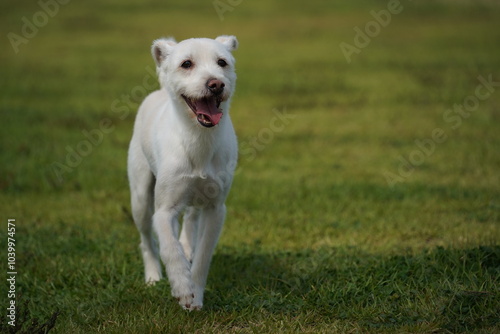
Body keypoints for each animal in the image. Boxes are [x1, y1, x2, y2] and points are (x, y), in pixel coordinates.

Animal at [128, 36, 239, 310]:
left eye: (222, 62)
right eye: (186, 64)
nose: (216, 84)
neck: (199, 138)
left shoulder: (216, 209)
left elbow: (203, 257)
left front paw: (195, 293)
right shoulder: (163, 210)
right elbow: (169, 247)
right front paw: (181, 287)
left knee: (190, 218)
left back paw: (187, 246)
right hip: (140, 199)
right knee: (147, 241)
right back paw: (153, 276)